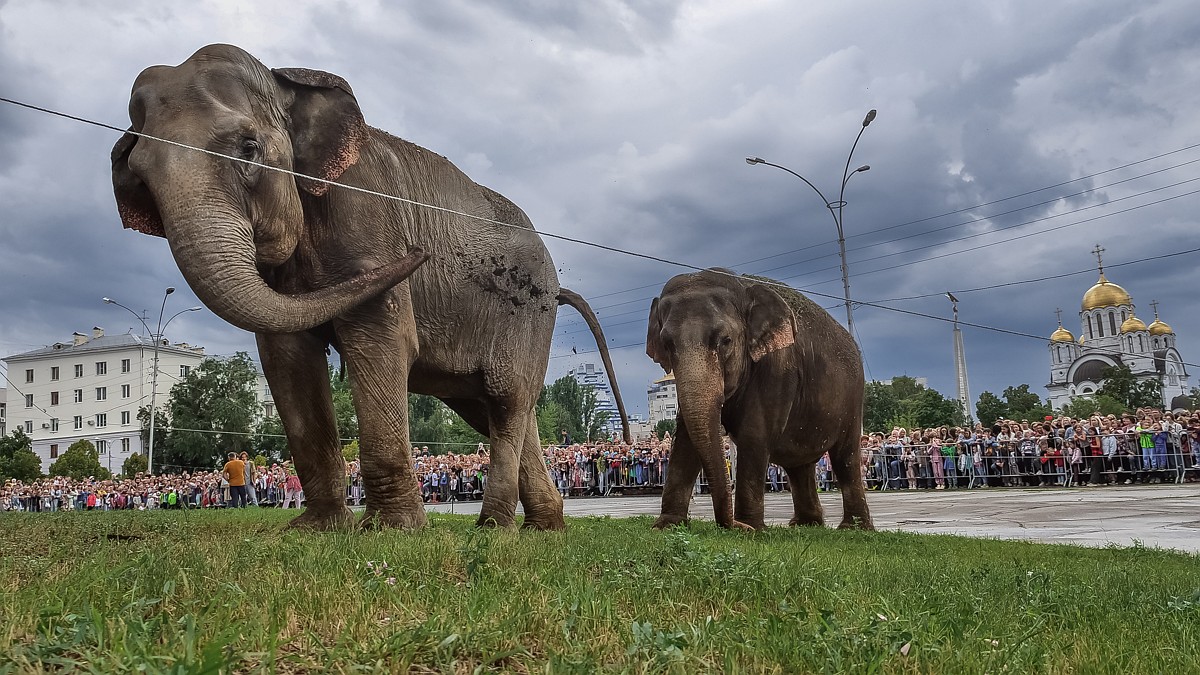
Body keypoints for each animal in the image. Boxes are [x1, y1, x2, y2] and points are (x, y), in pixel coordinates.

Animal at [114, 44, 628, 530]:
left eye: (248, 147)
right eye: (140, 175)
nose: (419, 251)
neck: (285, 82)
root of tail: (556, 289)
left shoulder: (366, 218)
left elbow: (380, 337)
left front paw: (391, 530)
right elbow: (287, 357)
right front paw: (316, 529)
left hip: (525, 316)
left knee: (505, 402)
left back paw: (494, 528)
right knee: (501, 410)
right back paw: (543, 527)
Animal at [648, 269, 873, 530]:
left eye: (726, 340)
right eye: (667, 344)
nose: (731, 525)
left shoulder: (778, 368)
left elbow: (754, 434)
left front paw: (751, 528)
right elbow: (684, 438)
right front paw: (666, 525)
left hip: (852, 398)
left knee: (845, 458)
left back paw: (854, 528)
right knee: (799, 465)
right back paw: (805, 524)